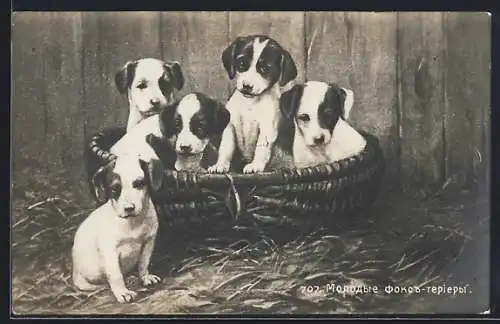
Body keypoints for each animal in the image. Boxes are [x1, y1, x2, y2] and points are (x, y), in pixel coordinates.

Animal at [72, 154, 163, 304]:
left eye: (139, 184)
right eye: (115, 188)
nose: (129, 208)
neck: (132, 222)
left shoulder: (148, 242)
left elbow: (143, 263)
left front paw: (145, 277)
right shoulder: (110, 253)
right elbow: (116, 275)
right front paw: (122, 292)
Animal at [207, 34, 296, 173]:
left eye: (265, 68)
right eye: (241, 63)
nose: (247, 86)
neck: (250, 103)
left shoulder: (267, 129)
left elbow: (261, 149)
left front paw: (256, 165)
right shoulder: (230, 127)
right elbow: (225, 148)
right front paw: (220, 165)